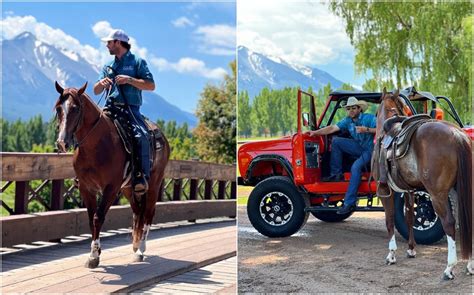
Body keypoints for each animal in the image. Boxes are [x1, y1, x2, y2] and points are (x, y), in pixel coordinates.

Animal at [54, 82, 170, 270]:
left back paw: (140, 249)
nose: (62, 142)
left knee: (148, 213)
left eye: (76, 109)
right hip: (128, 188)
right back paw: (135, 244)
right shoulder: (87, 188)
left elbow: (98, 217)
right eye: (58, 108)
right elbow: (91, 218)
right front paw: (96, 252)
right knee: (138, 211)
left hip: (154, 184)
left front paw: (94, 255)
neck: (96, 145)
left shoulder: (110, 188)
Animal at [374, 88, 470, 280]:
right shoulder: (409, 191)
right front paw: (411, 249)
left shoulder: (386, 192)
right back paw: (470, 266)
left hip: (437, 194)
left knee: (449, 223)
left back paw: (449, 268)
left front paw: (391, 254)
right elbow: (410, 218)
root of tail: (458, 135)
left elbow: (389, 220)